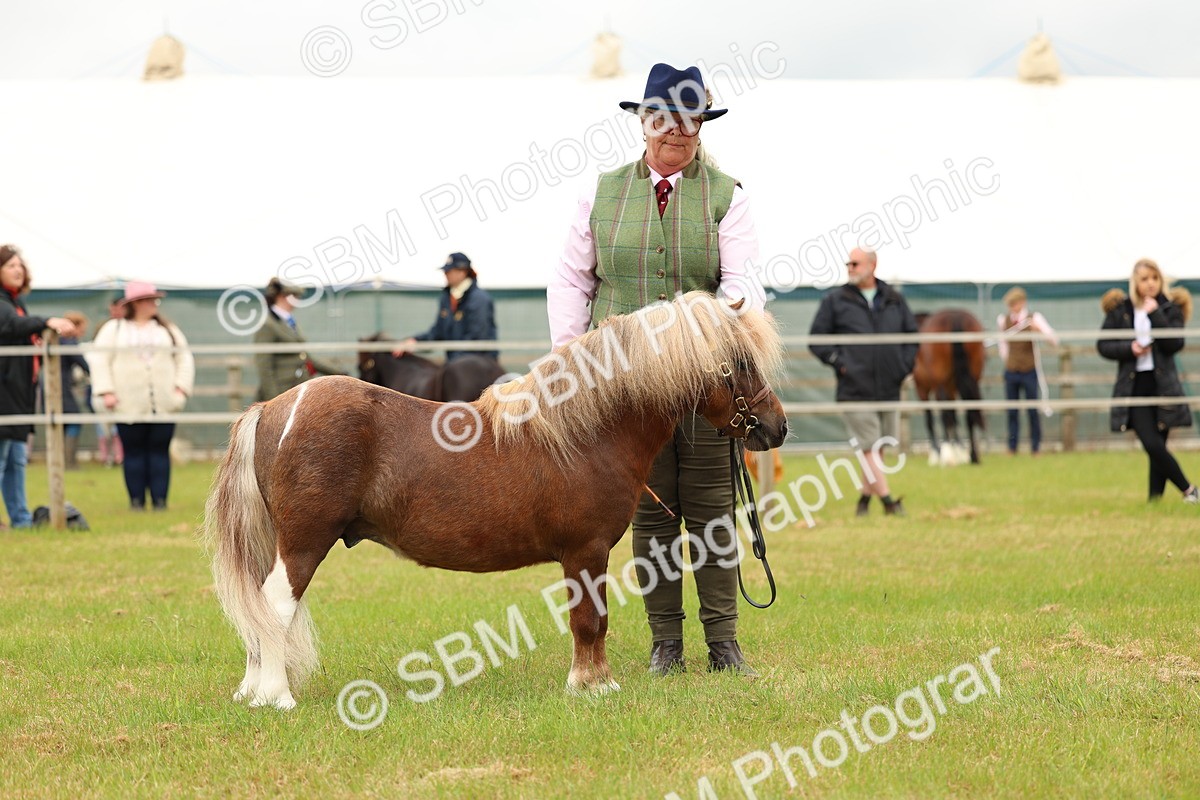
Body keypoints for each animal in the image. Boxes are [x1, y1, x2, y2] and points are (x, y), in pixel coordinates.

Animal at [912, 309, 986, 466]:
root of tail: (955, 316)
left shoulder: (923, 388)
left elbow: (932, 419)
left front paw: (936, 453)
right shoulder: (951, 388)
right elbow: (954, 417)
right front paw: (960, 451)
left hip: (938, 383)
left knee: (945, 415)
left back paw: (946, 455)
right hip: (972, 376)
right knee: (969, 412)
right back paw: (973, 456)